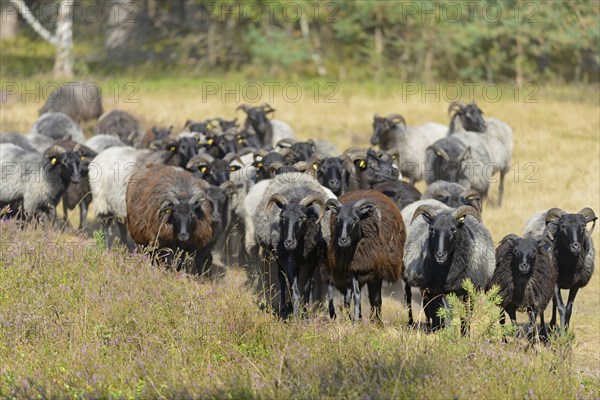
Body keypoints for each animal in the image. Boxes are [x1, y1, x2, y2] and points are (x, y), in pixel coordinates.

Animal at [326, 189, 410, 324]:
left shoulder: (377, 271)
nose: (342, 240)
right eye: (338, 220)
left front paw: (378, 322)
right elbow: (356, 295)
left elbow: (376, 299)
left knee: (373, 298)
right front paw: (356, 320)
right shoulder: (354, 268)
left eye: (356, 220)